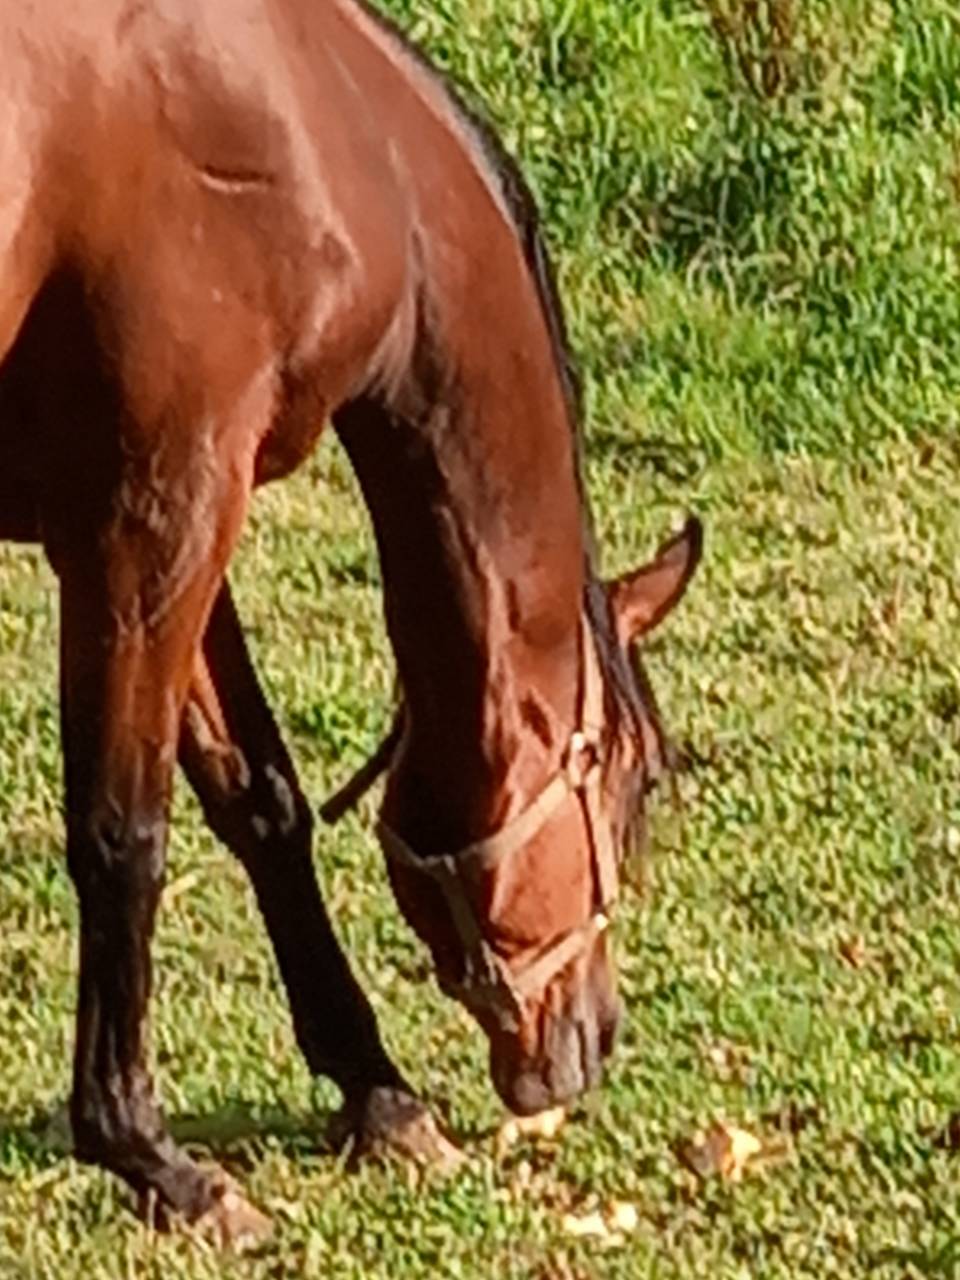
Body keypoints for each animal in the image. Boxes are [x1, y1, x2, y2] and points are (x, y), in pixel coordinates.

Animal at [0, 0, 702, 1245]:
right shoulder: (159, 511)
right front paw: (151, 1154)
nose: (596, 1035)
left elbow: (262, 799)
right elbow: (125, 834)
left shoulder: (169, 515)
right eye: (635, 783)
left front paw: (377, 1090)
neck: (323, 130)